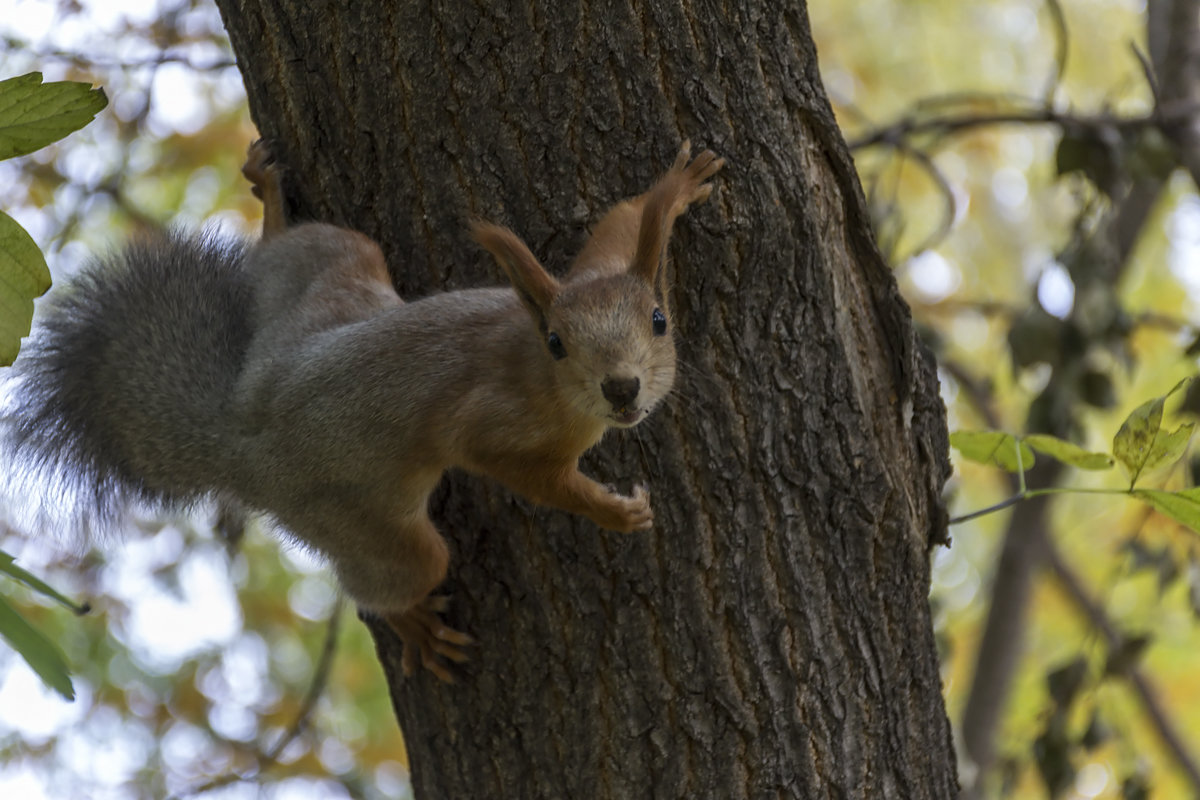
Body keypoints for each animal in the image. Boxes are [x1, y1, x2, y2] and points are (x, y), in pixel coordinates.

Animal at [7, 139, 720, 681]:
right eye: (558, 343)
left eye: (659, 319)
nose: (622, 389)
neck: (532, 363)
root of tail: (241, 435)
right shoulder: (495, 427)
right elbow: (525, 472)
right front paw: (613, 511)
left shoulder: (588, 272)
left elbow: (614, 232)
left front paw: (675, 188)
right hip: (360, 521)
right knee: (392, 575)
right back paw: (413, 622)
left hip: (331, 273)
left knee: (296, 251)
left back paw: (272, 202)